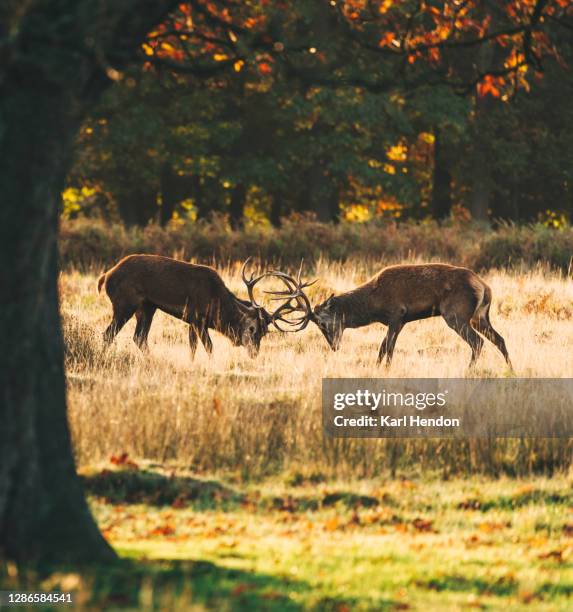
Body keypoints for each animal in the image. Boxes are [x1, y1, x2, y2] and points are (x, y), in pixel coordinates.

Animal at [98, 255, 308, 358]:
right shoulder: (198, 318)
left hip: (147, 307)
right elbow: (209, 347)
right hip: (125, 303)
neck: (216, 305)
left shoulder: (192, 321)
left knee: (139, 337)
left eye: (265, 332)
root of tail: (106, 276)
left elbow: (192, 347)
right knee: (108, 334)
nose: (254, 353)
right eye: (252, 328)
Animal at [280, 262, 512, 368]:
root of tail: (484, 286)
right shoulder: (400, 321)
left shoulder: (395, 314)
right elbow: (386, 349)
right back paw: (510, 368)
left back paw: (469, 370)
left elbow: (386, 349)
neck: (373, 304)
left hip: (456, 314)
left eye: (322, 323)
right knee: (499, 339)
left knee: (478, 342)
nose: (334, 346)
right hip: (479, 316)